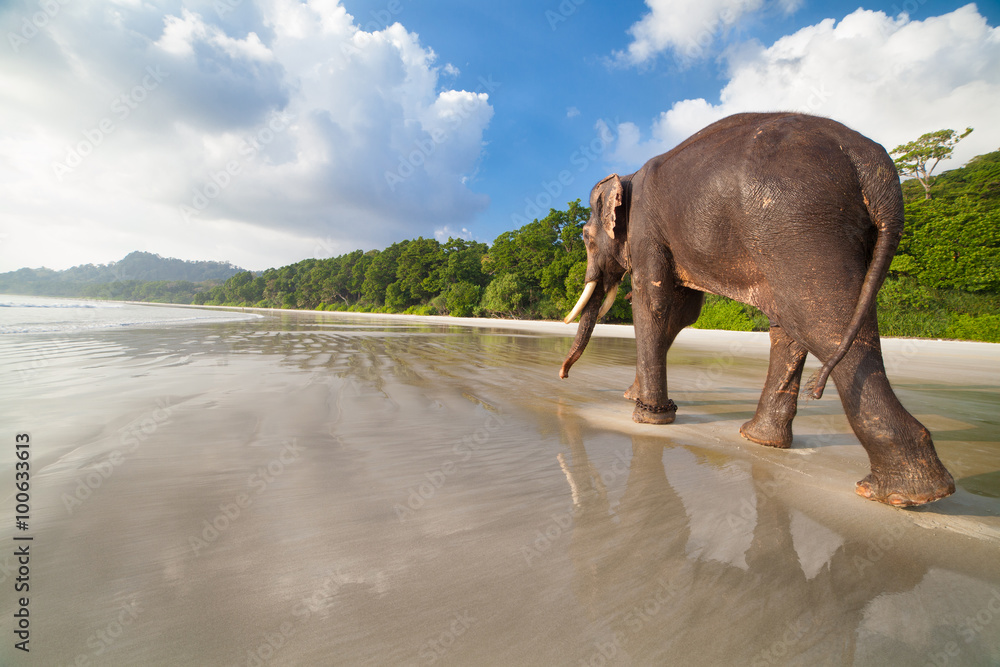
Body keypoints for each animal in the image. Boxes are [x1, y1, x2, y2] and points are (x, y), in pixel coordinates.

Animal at [559, 112, 955, 507]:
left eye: (585, 238)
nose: (562, 375)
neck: (626, 176)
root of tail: (873, 164)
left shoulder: (646, 230)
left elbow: (654, 303)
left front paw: (646, 417)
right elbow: (681, 313)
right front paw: (636, 398)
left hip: (797, 224)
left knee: (821, 321)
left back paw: (904, 494)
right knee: (798, 323)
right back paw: (762, 440)